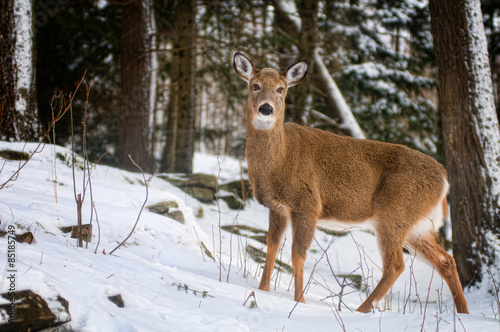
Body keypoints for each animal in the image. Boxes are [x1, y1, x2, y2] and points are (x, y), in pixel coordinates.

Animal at [233, 52, 468, 314]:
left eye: (280, 89)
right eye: (255, 85)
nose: (266, 108)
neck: (279, 160)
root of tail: (444, 180)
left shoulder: (307, 204)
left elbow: (297, 255)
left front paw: (299, 302)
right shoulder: (277, 206)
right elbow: (271, 247)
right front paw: (263, 290)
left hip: (393, 214)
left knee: (396, 265)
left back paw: (361, 310)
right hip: (417, 226)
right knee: (446, 260)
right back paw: (463, 312)